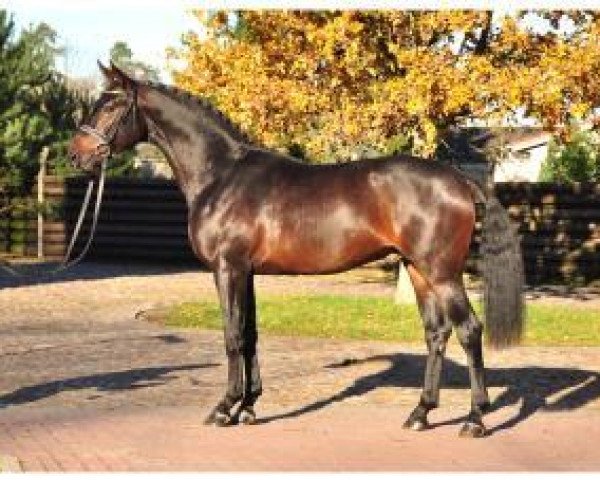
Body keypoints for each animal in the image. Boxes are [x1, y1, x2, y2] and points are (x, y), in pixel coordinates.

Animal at [68, 62, 524, 436]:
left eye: (110, 106)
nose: (76, 155)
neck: (222, 175)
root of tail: (460, 181)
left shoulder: (227, 268)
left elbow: (232, 335)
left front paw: (223, 409)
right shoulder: (246, 272)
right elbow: (249, 335)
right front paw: (248, 408)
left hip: (442, 272)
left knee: (469, 330)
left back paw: (475, 419)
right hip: (417, 269)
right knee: (437, 333)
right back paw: (420, 414)